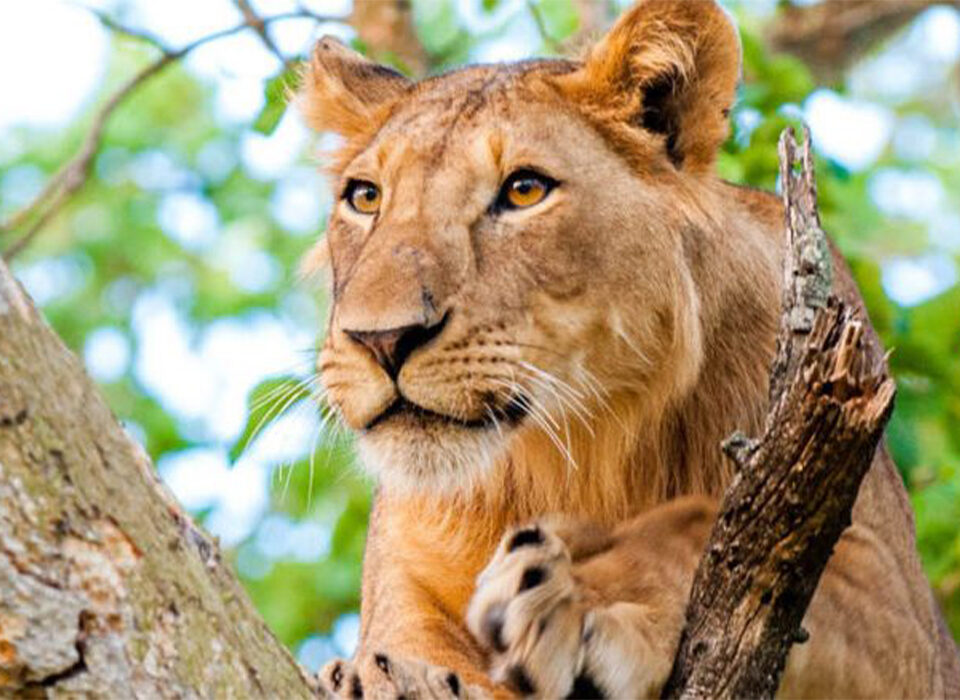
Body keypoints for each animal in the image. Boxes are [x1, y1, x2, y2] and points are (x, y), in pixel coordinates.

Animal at [297, 0, 960, 697]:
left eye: (525, 189)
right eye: (365, 196)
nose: (381, 339)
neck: (577, 451)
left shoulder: (902, 615)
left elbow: (697, 528)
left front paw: (580, 597)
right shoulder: (404, 587)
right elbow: (401, 650)